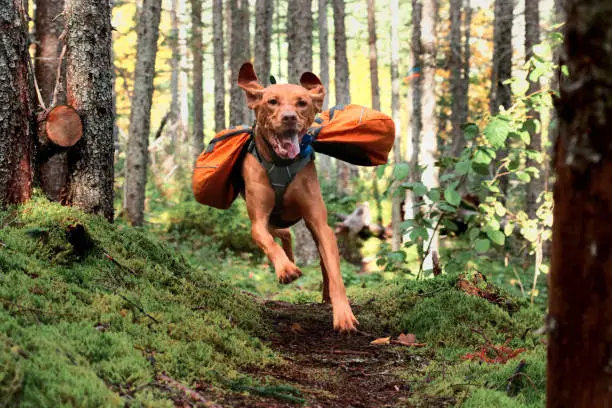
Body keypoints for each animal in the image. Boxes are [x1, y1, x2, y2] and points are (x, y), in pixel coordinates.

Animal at [235, 63, 358, 332]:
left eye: (302, 103)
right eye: (272, 102)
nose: (289, 117)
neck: (282, 162)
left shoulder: (320, 224)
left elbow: (335, 271)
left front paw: (343, 314)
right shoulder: (258, 220)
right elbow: (266, 240)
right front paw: (285, 269)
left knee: (317, 257)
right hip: (270, 218)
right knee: (281, 233)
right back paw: (288, 261)